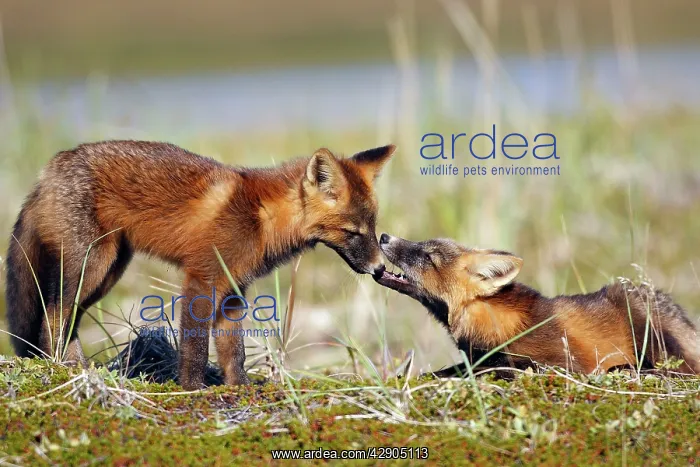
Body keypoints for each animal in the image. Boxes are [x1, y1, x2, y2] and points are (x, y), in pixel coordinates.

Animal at [5, 140, 395, 389]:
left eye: (373, 228)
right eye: (353, 232)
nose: (380, 269)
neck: (262, 218)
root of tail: (51, 168)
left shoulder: (234, 291)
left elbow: (233, 351)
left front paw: (239, 388)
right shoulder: (201, 279)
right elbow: (194, 348)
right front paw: (193, 388)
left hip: (108, 271)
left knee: (66, 317)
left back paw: (81, 368)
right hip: (91, 267)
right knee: (53, 315)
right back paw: (69, 370)